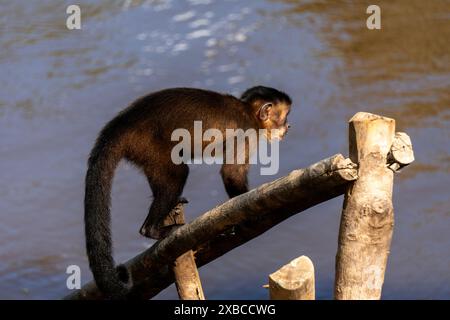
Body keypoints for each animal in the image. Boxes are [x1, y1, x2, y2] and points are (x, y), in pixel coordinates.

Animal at [84, 86, 292, 298]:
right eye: (284, 116)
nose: (288, 126)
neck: (247, 111)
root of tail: (122, 123)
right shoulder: (247, 133)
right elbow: (232, 174)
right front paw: (249, 217)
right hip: (147, 143)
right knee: (178, 173)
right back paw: (152, 229)